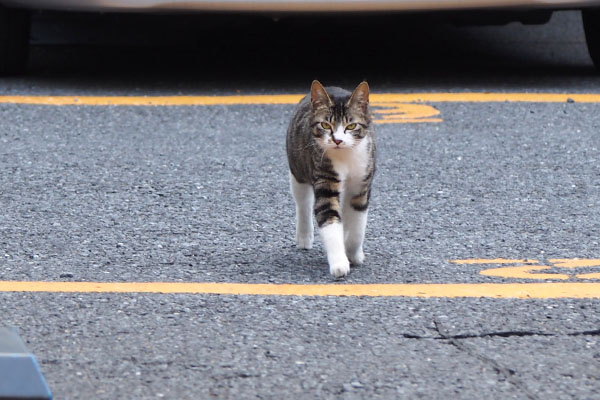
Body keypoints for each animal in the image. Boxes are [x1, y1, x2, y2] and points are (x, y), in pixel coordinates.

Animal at [286, 79, 376, 276]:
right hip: (297, 167)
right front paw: (339, 263)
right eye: (326, 125)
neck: (345, 157)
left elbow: (357, 225)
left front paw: (353, 253)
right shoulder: (325, 178)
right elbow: (329, 217)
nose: (337, 140)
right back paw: (304, 236)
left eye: (351, 126)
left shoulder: (361, 184)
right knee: (303, 202)